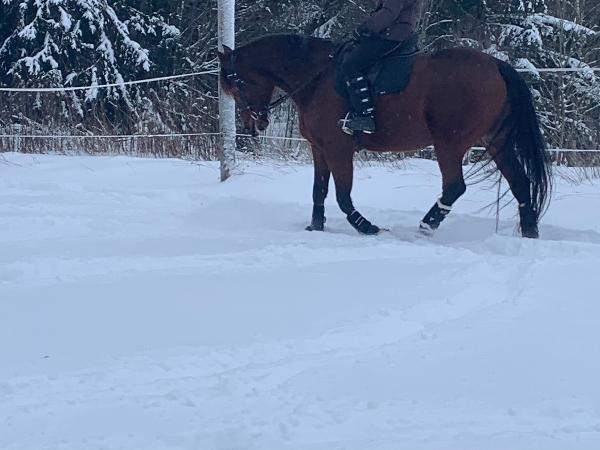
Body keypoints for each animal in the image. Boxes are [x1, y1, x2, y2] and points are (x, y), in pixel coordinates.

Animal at [217, 34, 551, 238]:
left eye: (236, 83)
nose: (254, 124)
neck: (316, 78)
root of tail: (495, 65)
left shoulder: (338, 149)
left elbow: (342, 196)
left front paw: (366, 227)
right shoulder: (319, 149)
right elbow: (319, 191)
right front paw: (315, 227)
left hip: (450, 142)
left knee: (455, 186)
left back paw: (426, 226)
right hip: (497, 140)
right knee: (520, 183)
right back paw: (530, 233)